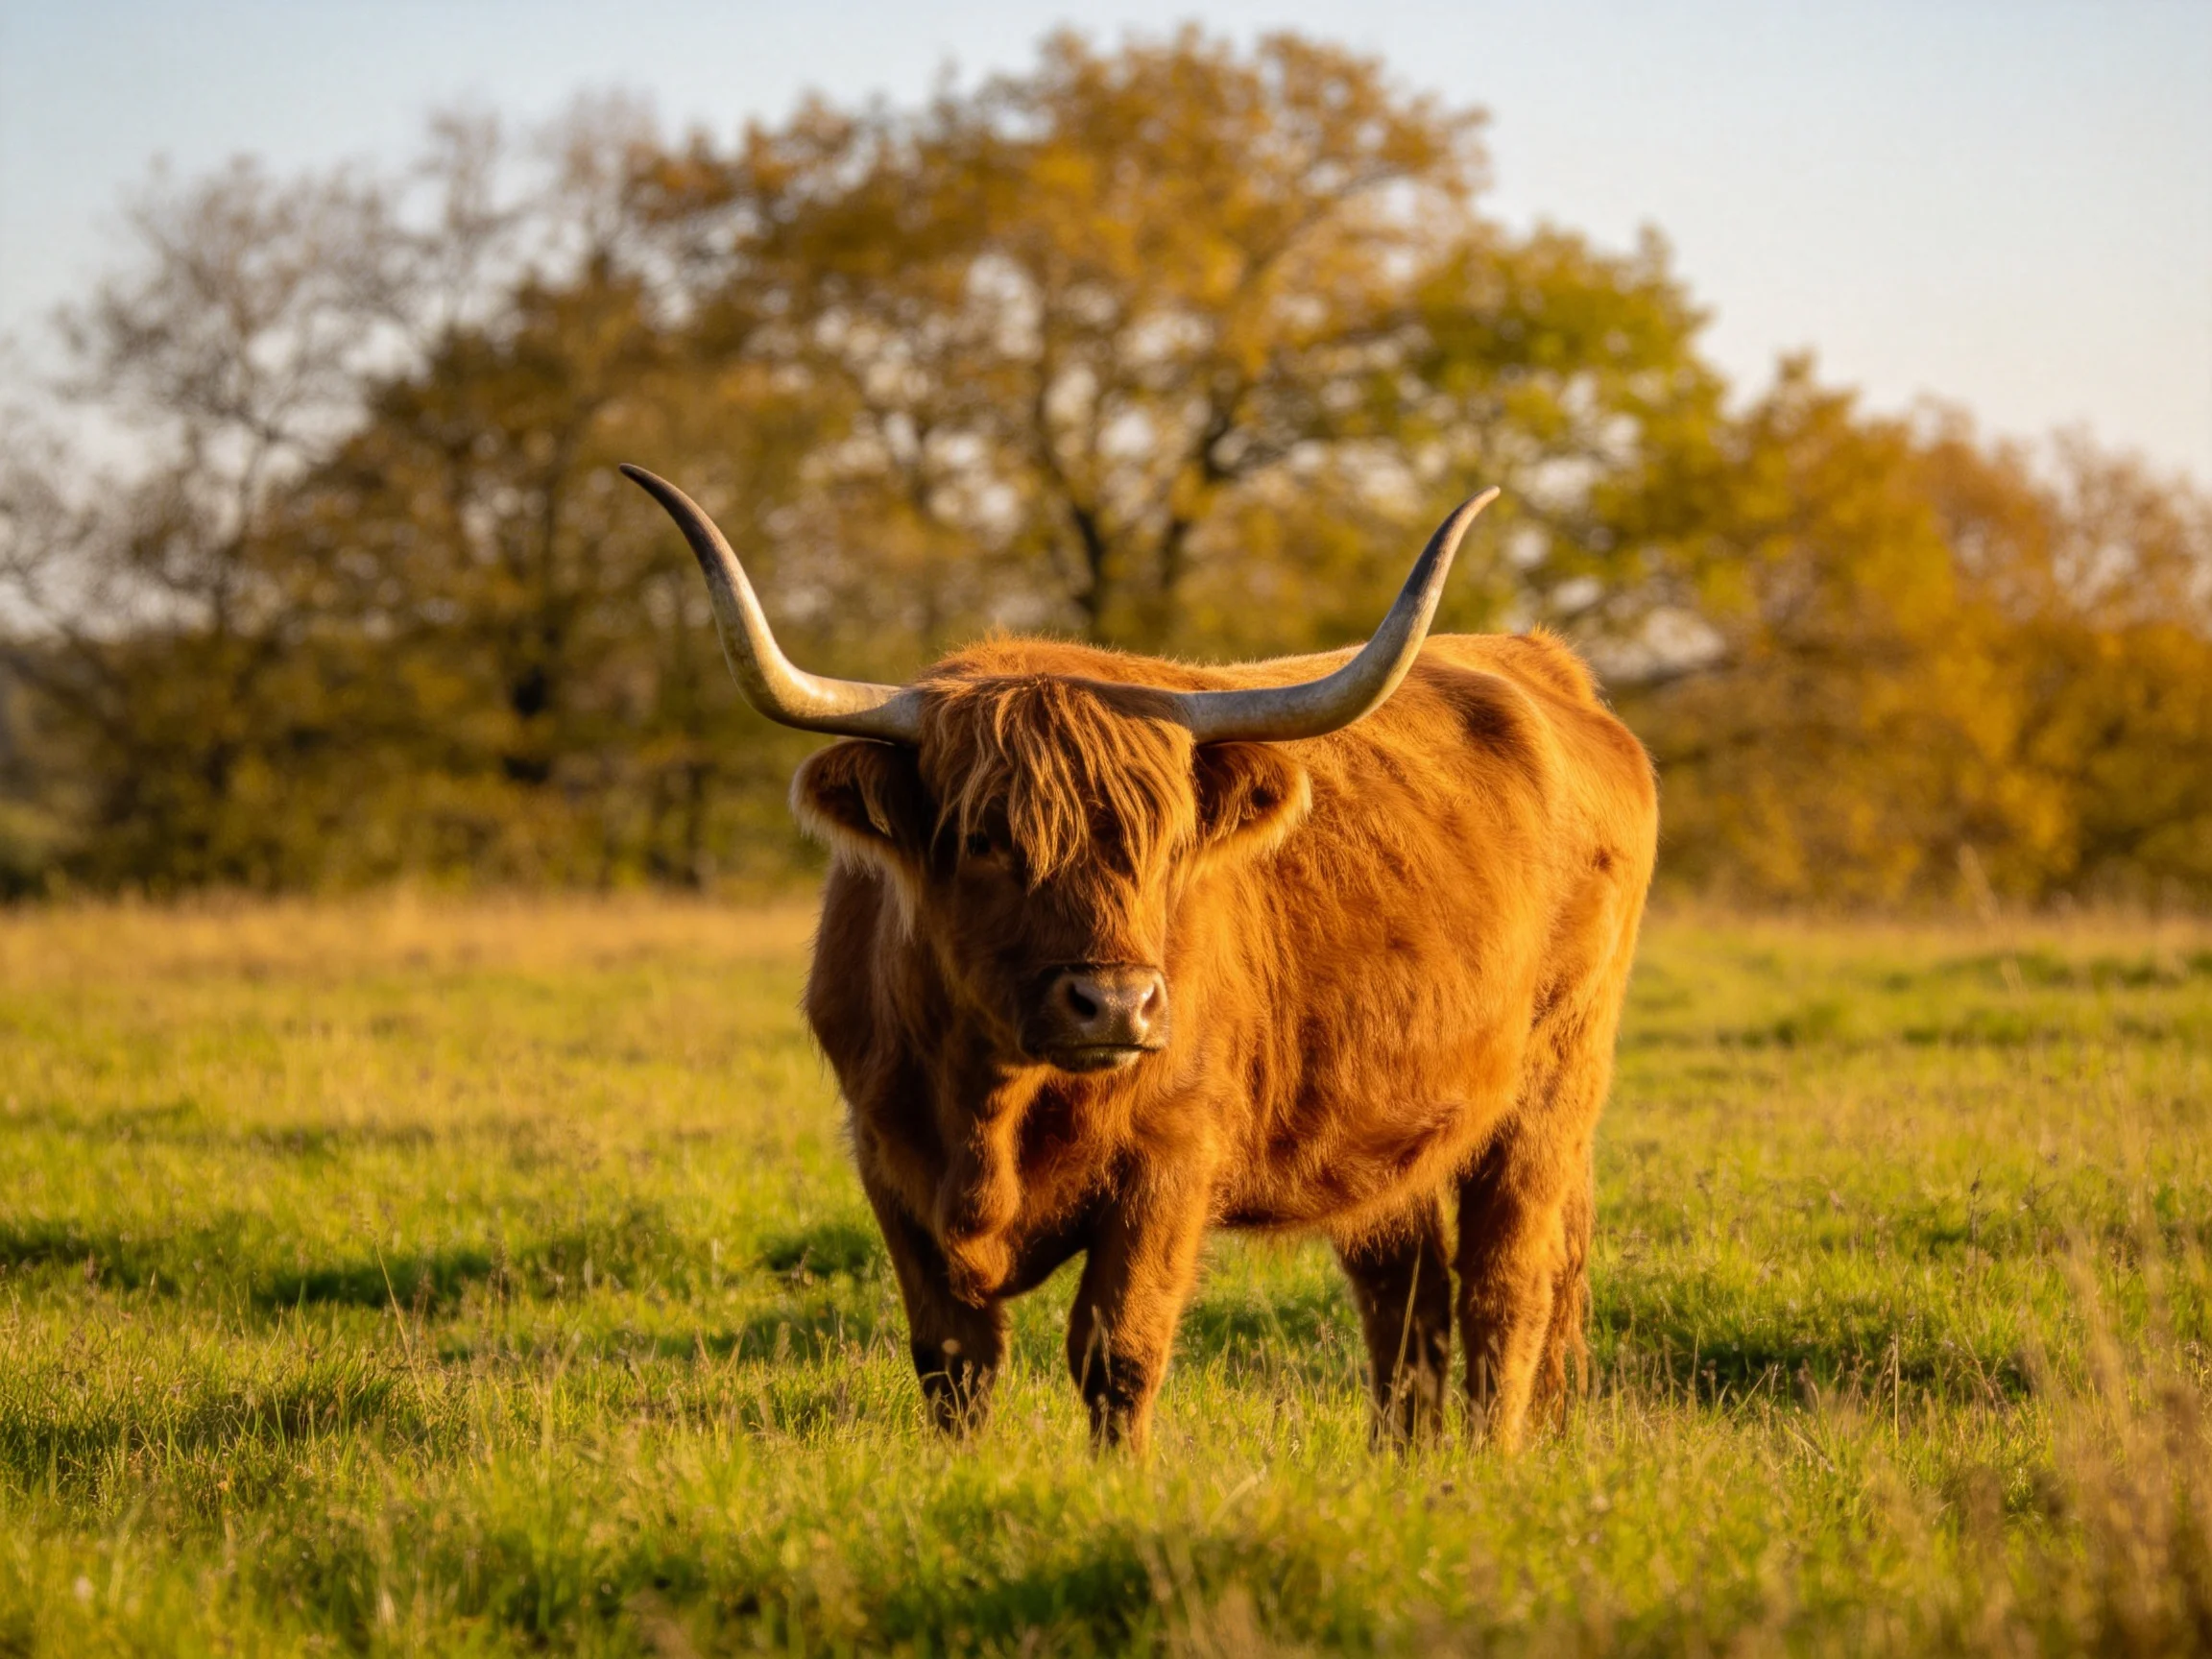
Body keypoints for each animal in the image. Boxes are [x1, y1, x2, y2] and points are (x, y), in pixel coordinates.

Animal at [623, 464, 1657, 1451]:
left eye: (1164, 841)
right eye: (985, 838)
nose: (1117, 1005)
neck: (990, 1109)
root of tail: (1538, 663)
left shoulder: (1171, 1160)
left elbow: (1117, 1351)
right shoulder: (886, 1158)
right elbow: (952, 1362)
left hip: (1552, 1088)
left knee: (1507, 1287)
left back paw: (1488, 1464)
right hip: (1389, 1122)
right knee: (1406, 1304)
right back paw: (1403, 1468)